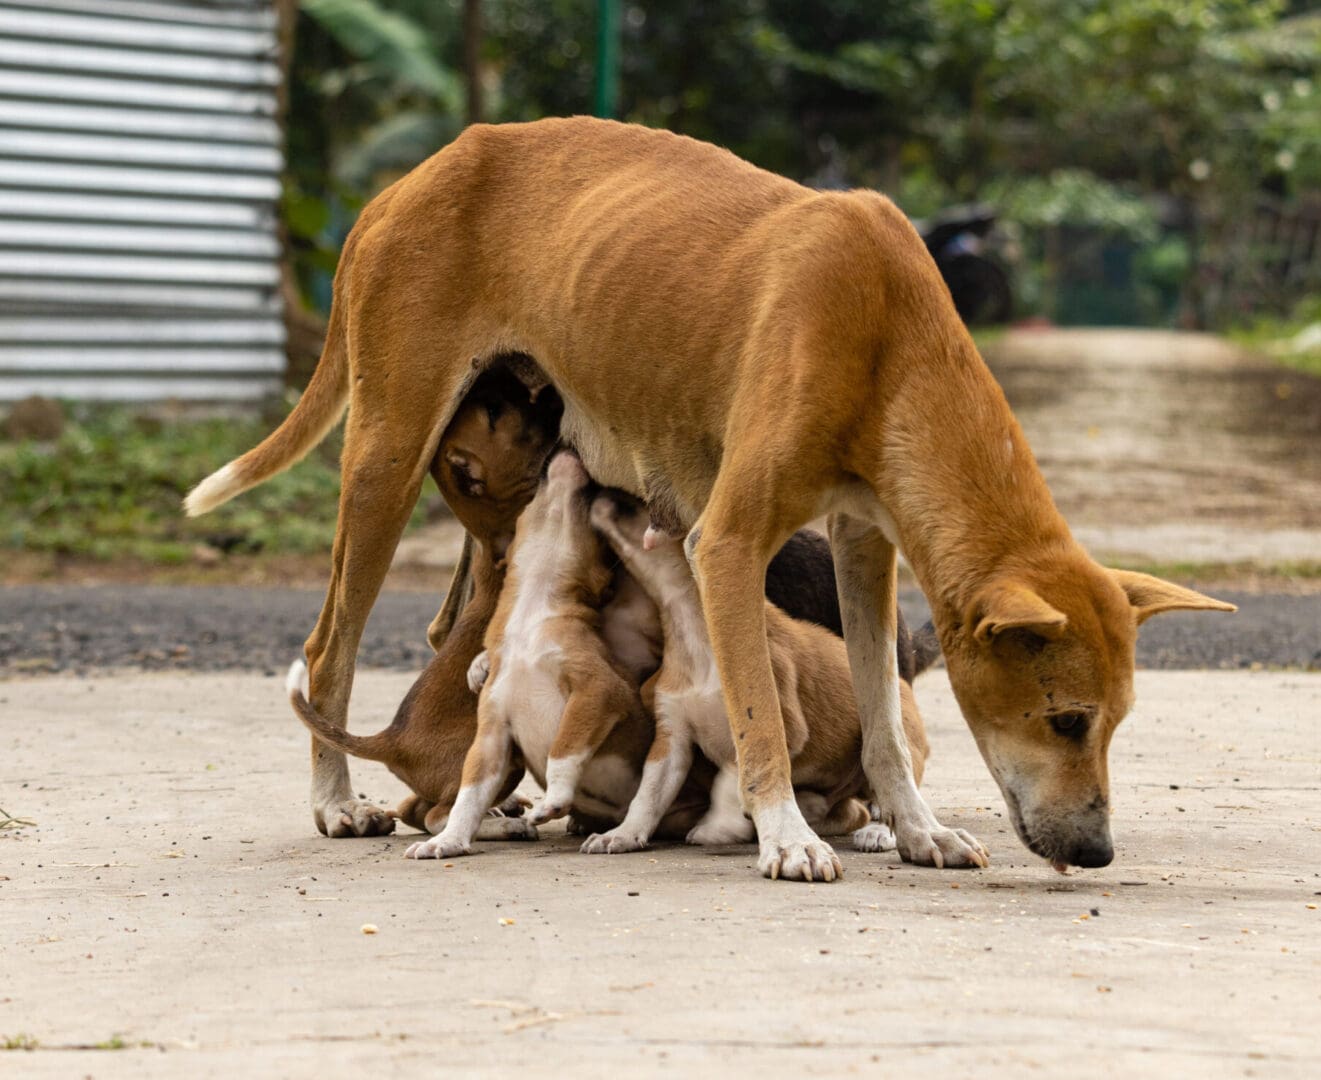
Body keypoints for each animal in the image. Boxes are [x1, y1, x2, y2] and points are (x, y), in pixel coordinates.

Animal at [583, 491, 935, 855]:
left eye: (640, 505)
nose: (595, 494)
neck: (693, 631)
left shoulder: (775, 723)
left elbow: (732, 776)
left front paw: (719, 827)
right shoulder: (672, 739)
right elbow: (648, 796)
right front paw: (622, 834)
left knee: (881, 796)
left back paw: (879, 831)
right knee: (846, 810)